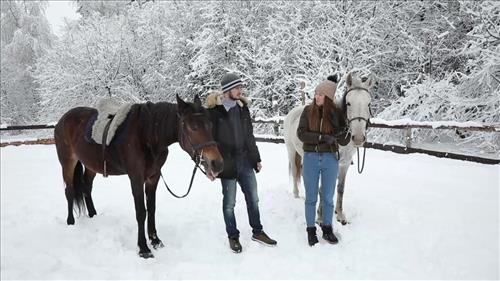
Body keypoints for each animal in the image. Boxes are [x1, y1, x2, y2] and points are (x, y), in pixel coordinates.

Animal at [54, 94, 223, 258]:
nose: (217, 163)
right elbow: (141, 212)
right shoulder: (136, 178)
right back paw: (70, 222)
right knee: (69, 191)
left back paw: (93, 215)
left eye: (210, 125)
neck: (147, 135)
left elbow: (152, 209)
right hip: (67, 163)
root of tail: (62, 120)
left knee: (87, 187)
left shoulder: (153, 178)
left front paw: (155, 241)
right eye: (193, 127)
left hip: (92, 166)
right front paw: (144, 248)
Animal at [284, 71, 374, 224]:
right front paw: (320, 218)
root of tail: (292, 113)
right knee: (295, 171)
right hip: (291, 151)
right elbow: (323, 188)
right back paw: (296, 196)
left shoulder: (344, 164)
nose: (358, 138)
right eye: (349, 103)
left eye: (368, 104)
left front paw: (340, 214)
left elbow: (340, 188)